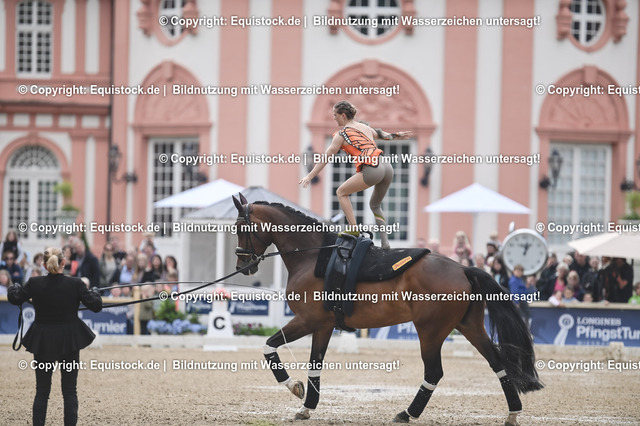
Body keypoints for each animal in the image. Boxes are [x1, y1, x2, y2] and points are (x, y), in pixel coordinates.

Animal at [232, 194, 543, 424]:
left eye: (241, 228)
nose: (243, 266)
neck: (313, 257)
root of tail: (463, 268)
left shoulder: (306, 320)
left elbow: (269, 347)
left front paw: (293, 387)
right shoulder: (322, 326)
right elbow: (315, 365)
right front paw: (307, 406)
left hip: (430, 332)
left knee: (434, 372)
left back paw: (407, 413)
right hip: (469, 326)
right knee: (497, 362)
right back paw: (513, 412)